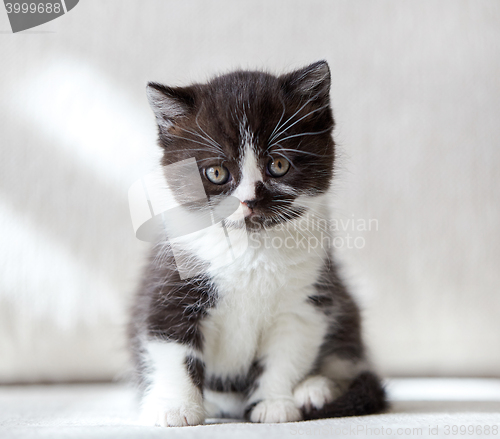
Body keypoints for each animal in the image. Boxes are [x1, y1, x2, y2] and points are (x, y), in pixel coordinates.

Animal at [129, 61, 386, 426]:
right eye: (216, 173)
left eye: (278, 165)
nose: (249, 200)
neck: (249, 246)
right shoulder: (170, 287)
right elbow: (172, 350)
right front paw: (175, 407)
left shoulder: (304, 300)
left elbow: (285, 354)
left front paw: (274, 404)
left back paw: (317, 388)